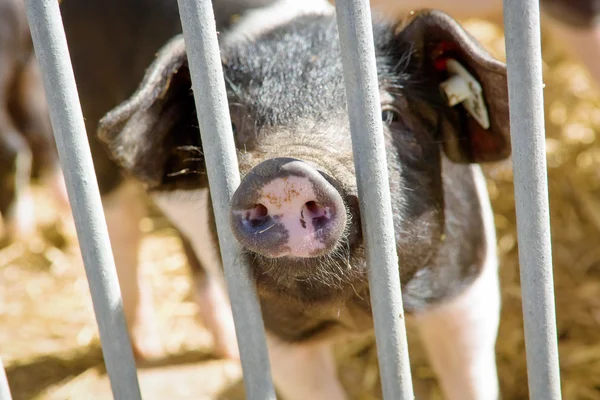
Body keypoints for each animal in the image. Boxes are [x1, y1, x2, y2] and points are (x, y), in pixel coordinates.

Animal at [98, 1, 510, 398]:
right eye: (230, 128)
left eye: (388, 115)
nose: (284, 171)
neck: (353, 312)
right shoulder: (278, 342)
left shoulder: (467, 289)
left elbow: (471, 375)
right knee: (121, 231)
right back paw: (146, 347)